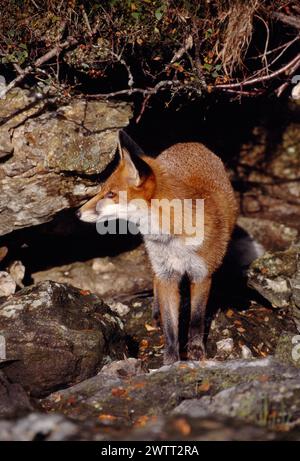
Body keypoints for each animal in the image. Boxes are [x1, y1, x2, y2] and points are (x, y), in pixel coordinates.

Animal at [77, 135, 237, 364]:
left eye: (111, 194)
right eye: (102, 191)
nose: (78, 213)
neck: (174, 238)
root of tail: (190, 143)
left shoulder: (202, 275)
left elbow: (196, 320)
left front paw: (196, 350)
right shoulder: (167, 275)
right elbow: (170, 328)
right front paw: (170, 361)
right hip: (157, 264)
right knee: (154, 281)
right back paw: (156, 313)